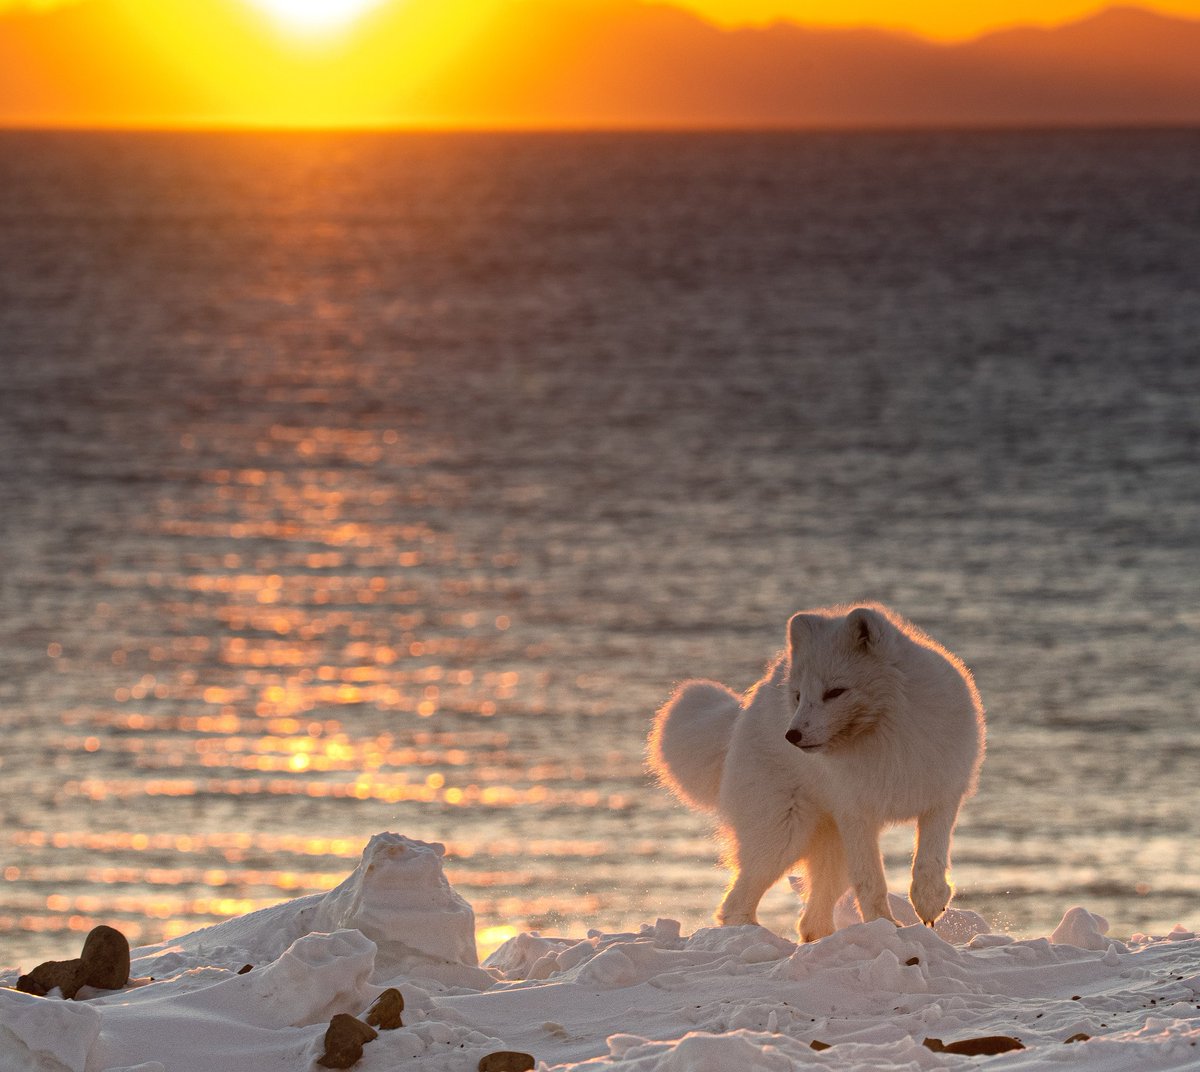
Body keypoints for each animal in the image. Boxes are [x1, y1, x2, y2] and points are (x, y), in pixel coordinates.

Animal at [648, 604, 985, 942]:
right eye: (799, 695)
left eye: (835, 692)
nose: (791, 736)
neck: (889, 736)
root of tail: (745, 710)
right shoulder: (856, 814)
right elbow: (871, 880)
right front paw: (884, 927)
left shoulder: (941, 795)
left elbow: (930, 858)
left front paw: (929, 901)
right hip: (784, 835)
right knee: (734, 904)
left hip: (830, 851)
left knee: (809, 922)